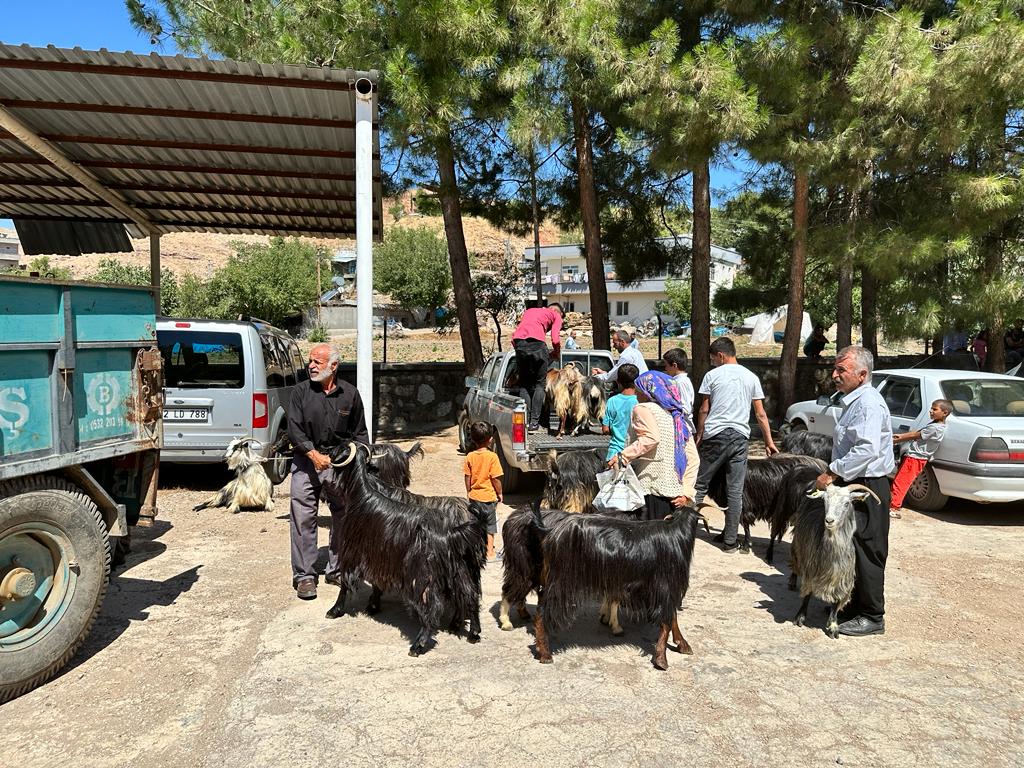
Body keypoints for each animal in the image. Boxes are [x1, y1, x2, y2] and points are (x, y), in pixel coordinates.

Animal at [325, 444, 489, 655]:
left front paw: (336, 610)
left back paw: (419, 644)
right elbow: (376, 581)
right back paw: (471, 632)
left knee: (434, 605)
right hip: (461, 569)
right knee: (469, 595)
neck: (363, 492)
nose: (328, 451)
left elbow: (346, 583)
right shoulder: (380, 555)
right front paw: (373, 605)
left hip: (424, 574)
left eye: (340, 448)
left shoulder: (352, 551)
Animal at [528, 507, 704, 671]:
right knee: (541, 612)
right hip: (562, 581)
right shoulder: (665, 587)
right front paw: (662, 659)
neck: (676, 536)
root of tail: (551, 531)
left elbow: (672, 616)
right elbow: (667, 620)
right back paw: (545, 654)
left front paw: (682, 645)